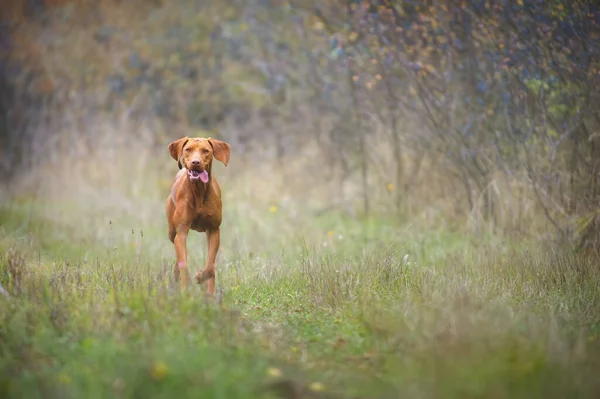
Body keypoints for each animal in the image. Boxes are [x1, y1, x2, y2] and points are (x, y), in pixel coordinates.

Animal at [166, 136, 232, 296]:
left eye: (206, 151)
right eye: (188, 149)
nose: (195, 162)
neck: (199, 191)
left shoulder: (213, 231)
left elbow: (210, 266)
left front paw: (201, 277)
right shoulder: (181, 232)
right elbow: (183, 263)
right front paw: (186, 289)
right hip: (171, 231)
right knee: (177, 257)